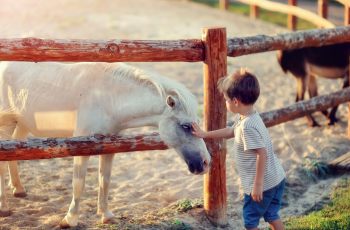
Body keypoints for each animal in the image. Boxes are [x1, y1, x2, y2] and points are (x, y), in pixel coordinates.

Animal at [0, 62, 209, 227]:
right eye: (185, 126)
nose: (206, 163)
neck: (108, 99)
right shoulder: (81, 147)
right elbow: (79, 183)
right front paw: (70, 219)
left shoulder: (110, 147)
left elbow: (105, 181)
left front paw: (106, 215)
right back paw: (4, 207)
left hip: (22, 124)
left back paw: (18, 189)